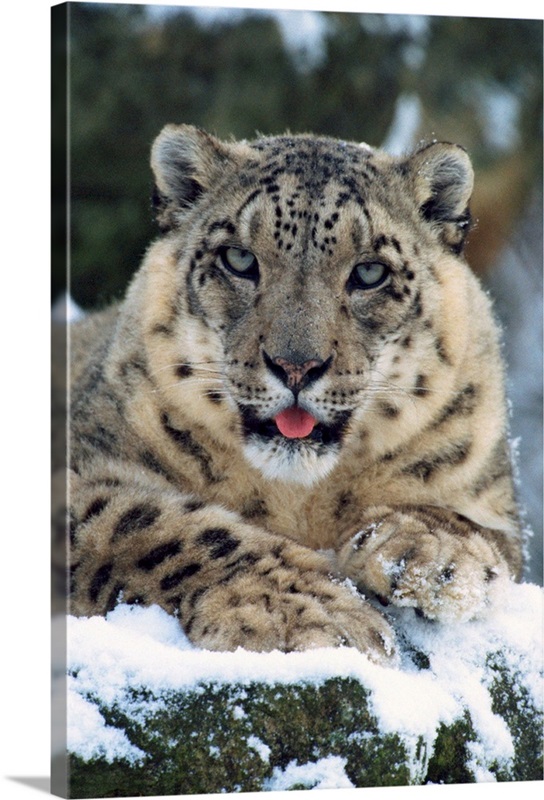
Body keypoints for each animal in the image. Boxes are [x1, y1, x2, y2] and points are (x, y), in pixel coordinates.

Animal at [67, 123, 524, 664]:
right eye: (239, 259)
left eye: (370, 272)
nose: (296, 366)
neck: (299, 499)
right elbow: (151, 523)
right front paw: (306, 610)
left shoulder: (493, 499)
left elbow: (481, 530)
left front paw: (427, 552)